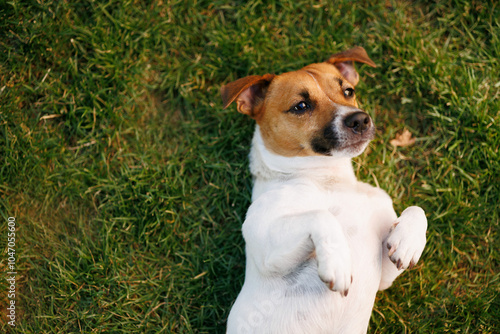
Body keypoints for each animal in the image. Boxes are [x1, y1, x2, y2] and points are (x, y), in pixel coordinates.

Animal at [222, 45, 426, 332]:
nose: (360, 120)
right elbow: (321, 215)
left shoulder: (385, 275)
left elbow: (417, 209)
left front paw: (408, 241)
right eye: (301, 106)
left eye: (348, 91)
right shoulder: (265, 248)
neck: (327, 179)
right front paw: (338, 260)